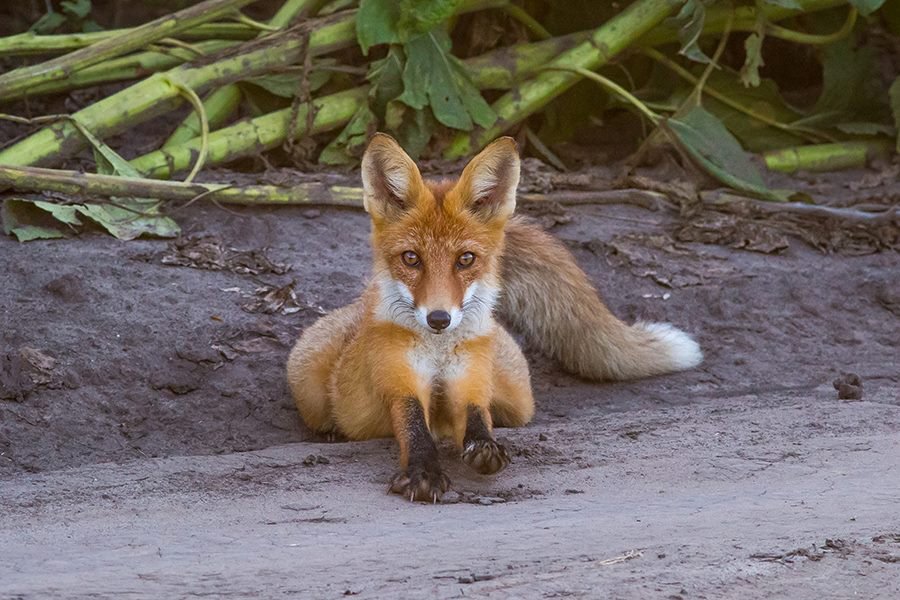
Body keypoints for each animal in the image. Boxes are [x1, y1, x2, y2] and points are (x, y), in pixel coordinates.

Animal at [288, 132, 704, 502]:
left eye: (465, 259)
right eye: (411, 258)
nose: (439, 318)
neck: (439, 352)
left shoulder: (470, 380)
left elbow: (477, 416)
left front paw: (484, 447)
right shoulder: (399, 380)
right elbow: (413, 426)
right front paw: (423, 473)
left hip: (519, 400)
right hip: (307, 380)